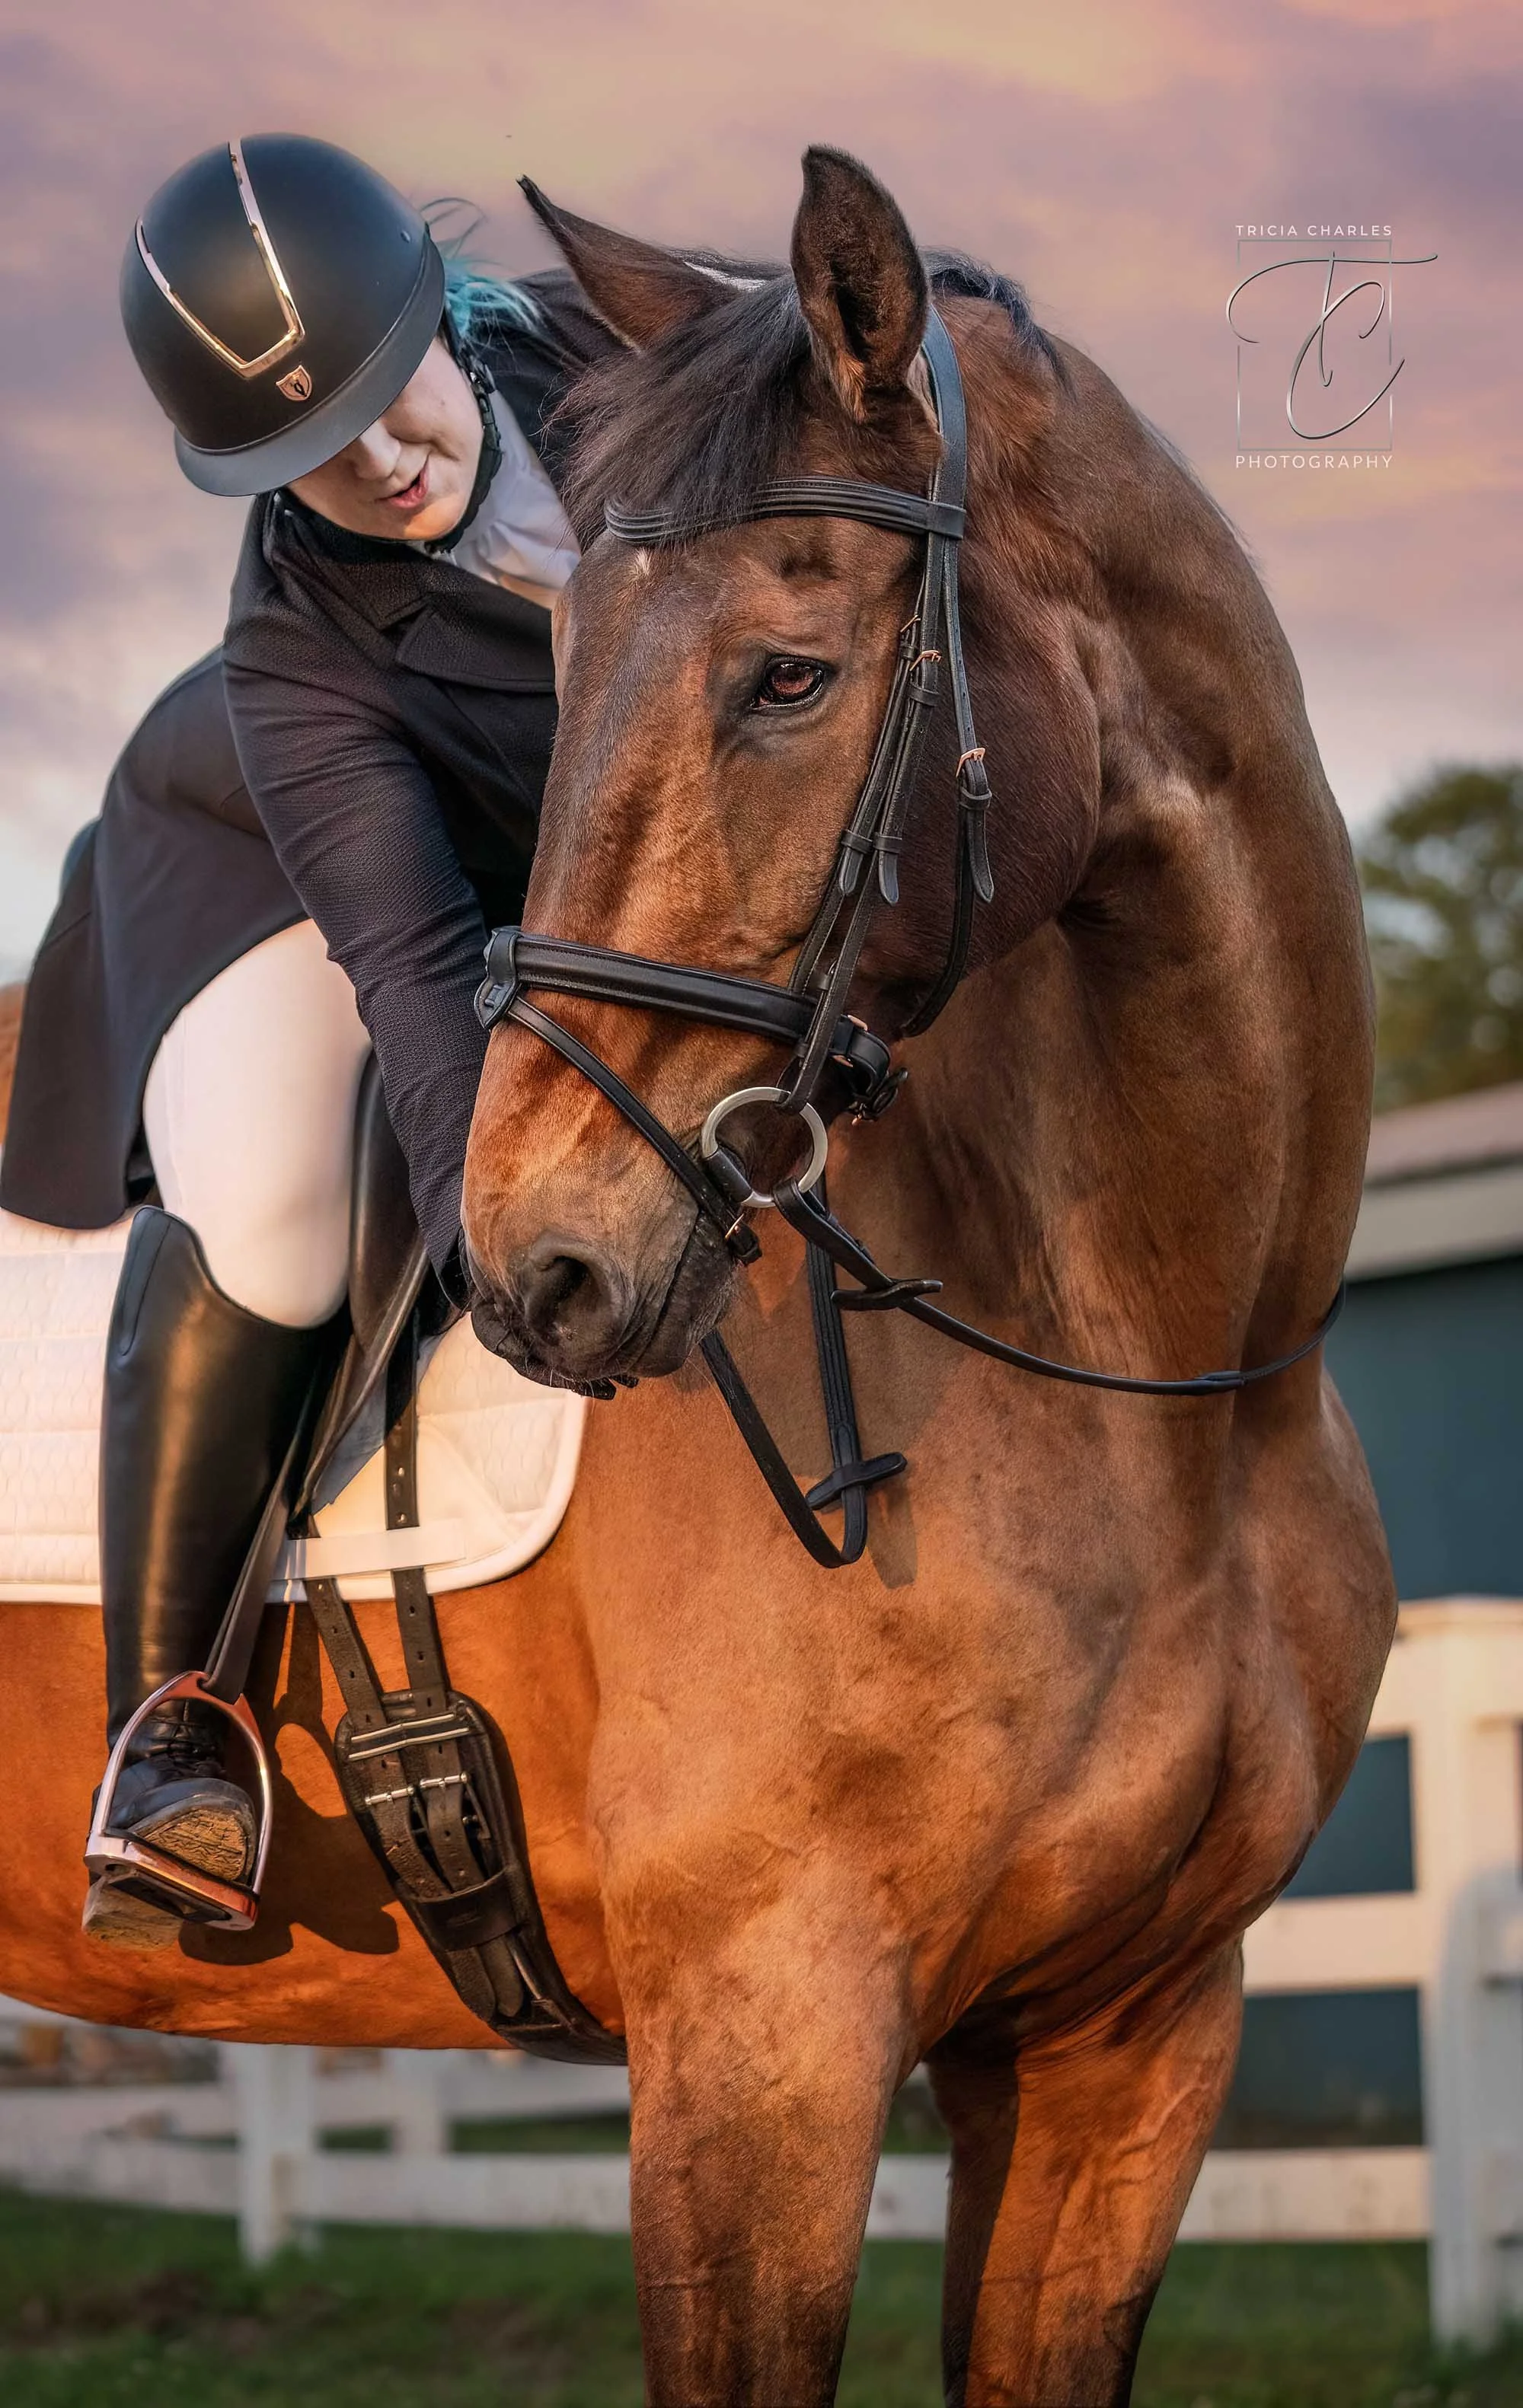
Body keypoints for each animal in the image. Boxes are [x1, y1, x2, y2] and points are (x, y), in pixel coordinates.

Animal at [0, 147, 1393, 2408]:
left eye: (791, 675)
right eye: (567, 656)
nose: (551, 1276)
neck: (1151, 1367)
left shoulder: (1130, 2041)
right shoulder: (766, 2039)